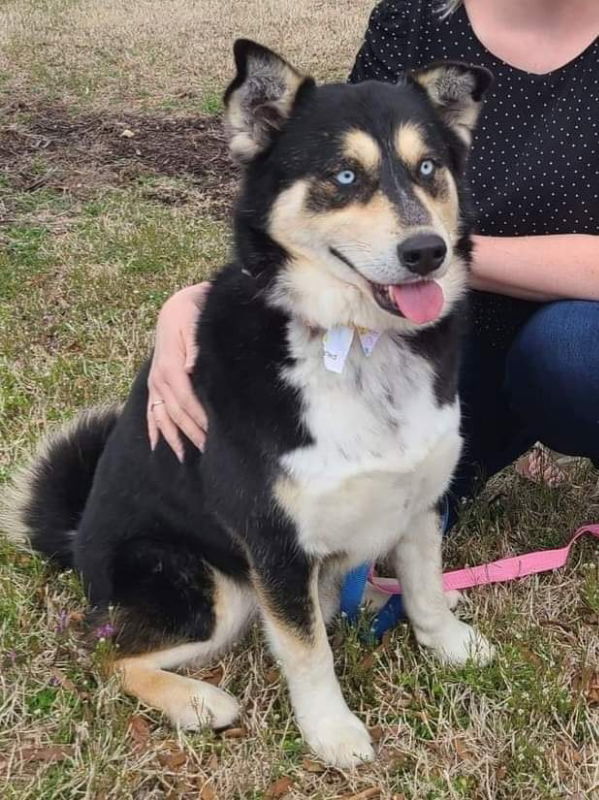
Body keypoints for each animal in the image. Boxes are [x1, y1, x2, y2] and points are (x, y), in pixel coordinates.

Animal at [2, 40, 494, 764]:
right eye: (344, 175)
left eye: (427, 167)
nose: (426, 251)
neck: (357, 341)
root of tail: (75, 539)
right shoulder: (273, 543)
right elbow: (307, 651)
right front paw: (331, 731)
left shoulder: (420, 497)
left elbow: (426, 587)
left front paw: (451, 644)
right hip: (208, 584)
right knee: (104, 656)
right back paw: (197, 702)